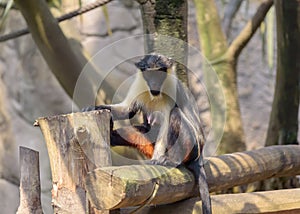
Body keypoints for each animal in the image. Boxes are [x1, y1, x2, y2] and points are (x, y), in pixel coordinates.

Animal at [83, 53, 212, 214]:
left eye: (159, 74)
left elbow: (165, 124)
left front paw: (158, 159)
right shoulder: (139, 85)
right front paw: (94, 108)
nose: (155, 84)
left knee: (175, 114)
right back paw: (112, 135)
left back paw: (172, 160)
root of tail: (199, 157)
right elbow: (127, 110)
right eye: (150, 75)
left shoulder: (171, 88)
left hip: (193, 148)